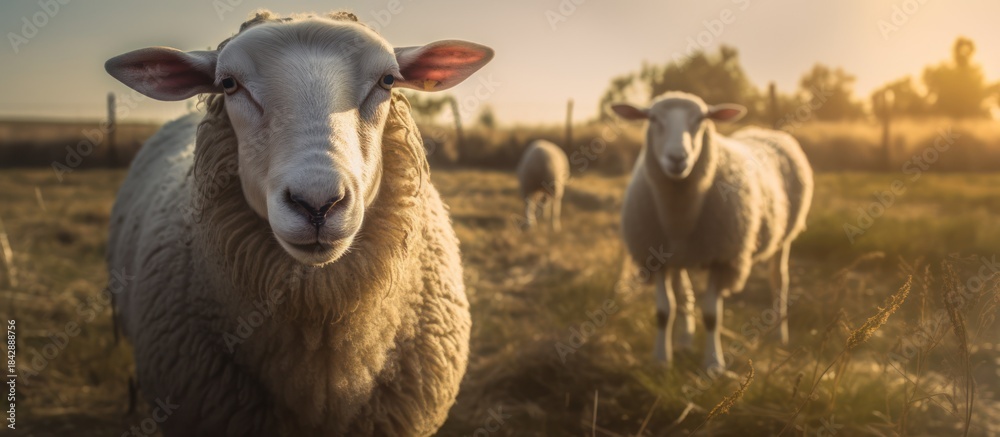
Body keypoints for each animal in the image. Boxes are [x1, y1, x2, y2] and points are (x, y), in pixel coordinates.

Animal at [611, 91, 813, 370]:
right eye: (653, 118)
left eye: (701, 119)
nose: (677, 158)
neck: (679, 217)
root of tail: (765, 130)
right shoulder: (655, 258)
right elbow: (664, 312)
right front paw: (661, 359)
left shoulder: (723, 258)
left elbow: (711, 315)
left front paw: (713, 363)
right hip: (678, 256)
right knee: (684, 294)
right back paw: (684, 339)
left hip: (785, 236)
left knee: (779, 281)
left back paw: (780, 334)